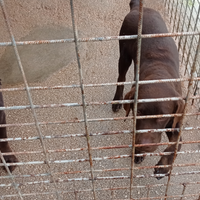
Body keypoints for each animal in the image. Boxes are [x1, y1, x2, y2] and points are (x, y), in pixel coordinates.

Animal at [112, 0, 184, 178]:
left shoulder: (174, 120)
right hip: (124, 53)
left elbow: (177, 143)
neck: (159, 73)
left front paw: (164, 166)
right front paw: (138, 153)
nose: (143, 146)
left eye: (162, 117)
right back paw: (117, 100)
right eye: (138, 112)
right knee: (121, 77)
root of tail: (137, 7)